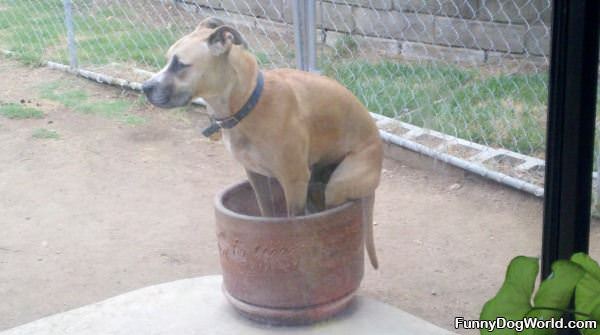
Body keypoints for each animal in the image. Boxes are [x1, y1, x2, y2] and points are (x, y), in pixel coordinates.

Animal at [143, 17, 382, 270]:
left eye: (180, 65)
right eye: (168, 59)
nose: (145, 87)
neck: (247, 103)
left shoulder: (294, 181)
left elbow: (295, 223)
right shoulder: (256, 176)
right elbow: (267, 215)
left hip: (338, 184)